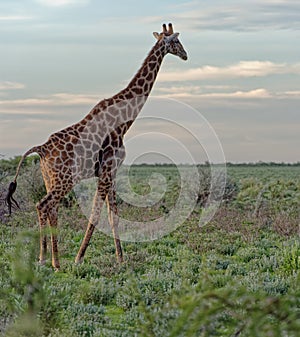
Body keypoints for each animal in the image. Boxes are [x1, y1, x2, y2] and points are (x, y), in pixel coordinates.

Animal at [5, 22, 186, 270]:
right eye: (176, 41)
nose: (186, 55)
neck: (124, 121)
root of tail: (41, 149)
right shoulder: (108, 169)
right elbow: (96, 214)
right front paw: (79, 258)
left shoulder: (110, 171)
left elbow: (112, 215)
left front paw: (121, 259)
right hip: (64, 179)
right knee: (43, 205)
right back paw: (49, 261)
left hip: (48, 178)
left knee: (51, 209)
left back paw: (49, 260)